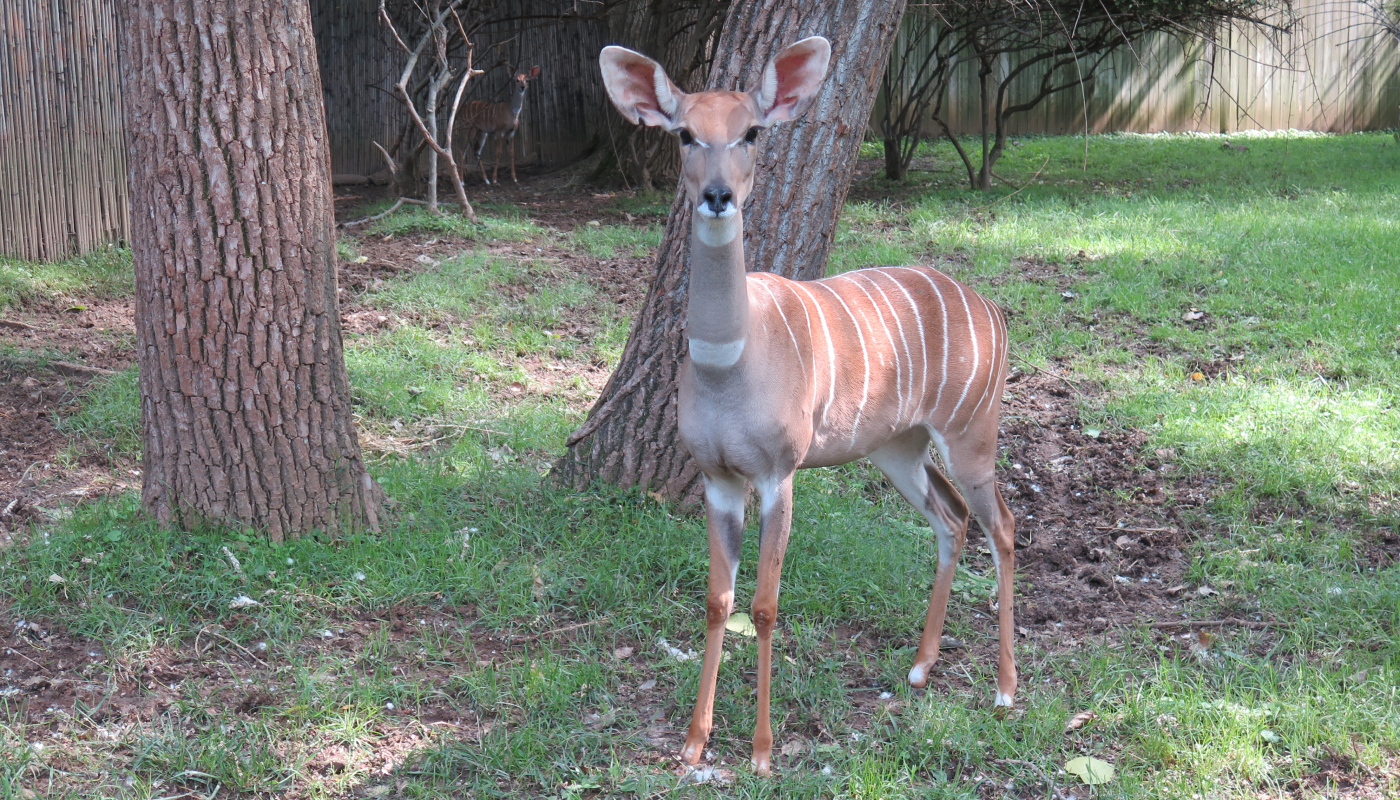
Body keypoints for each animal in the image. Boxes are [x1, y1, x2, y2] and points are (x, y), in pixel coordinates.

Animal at [599, 37, 1019, 778]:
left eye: (751, 131)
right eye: (684, 133)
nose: (717, 195)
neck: (730, 365)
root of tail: (993, 309)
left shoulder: (780, 471)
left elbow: (765, 605)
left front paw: (763, 752)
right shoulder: (717, 476)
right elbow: (718, 600)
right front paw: (693, 741)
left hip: (972, 431)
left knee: (1004, 525)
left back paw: (1003, 690)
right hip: (899, 445)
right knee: (950, 517)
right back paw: (919, 669)